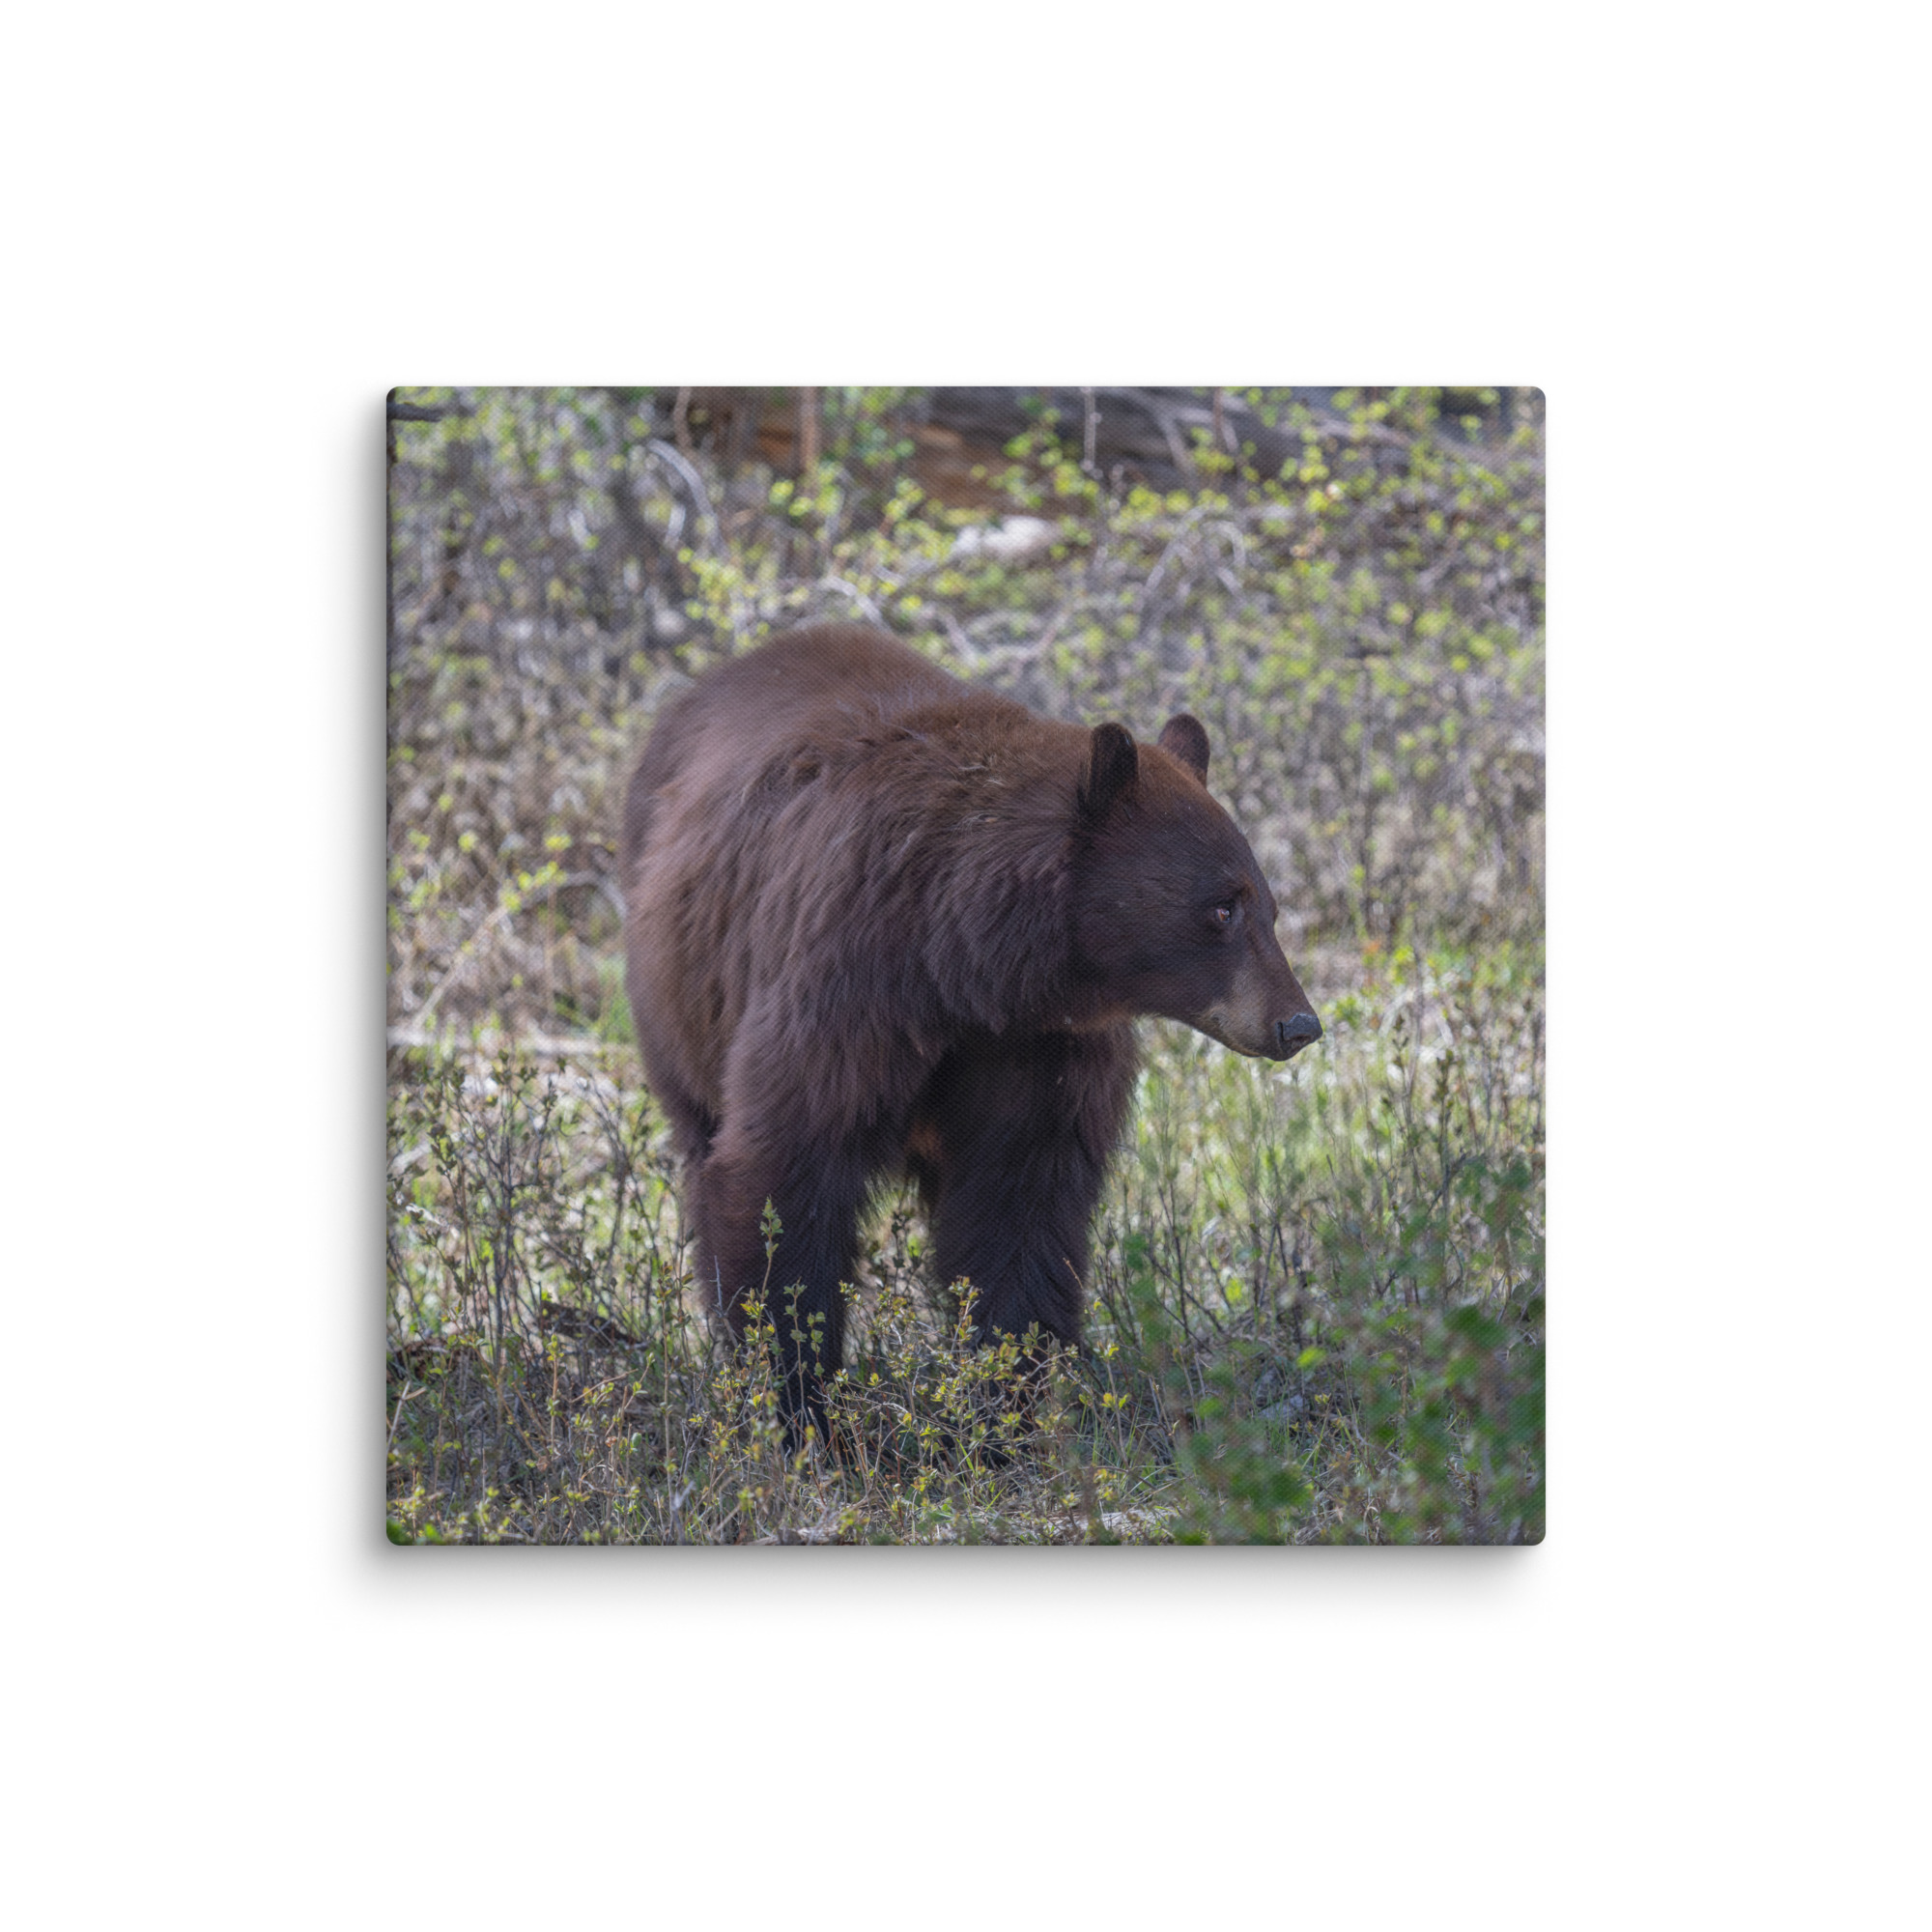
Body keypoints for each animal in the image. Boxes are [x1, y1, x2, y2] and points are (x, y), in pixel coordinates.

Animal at [619, 622, 1320, 1433]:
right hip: (679, 1001)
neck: (966, 963)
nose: (1298, 1023)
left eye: (1268, 906)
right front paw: (798, 1405)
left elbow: (1019, 1206)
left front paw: (1002, 1411)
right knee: (703, 1144)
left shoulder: (1039, 1047)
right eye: (1221, 908)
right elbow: (785, 1169)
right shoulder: (847, 985)